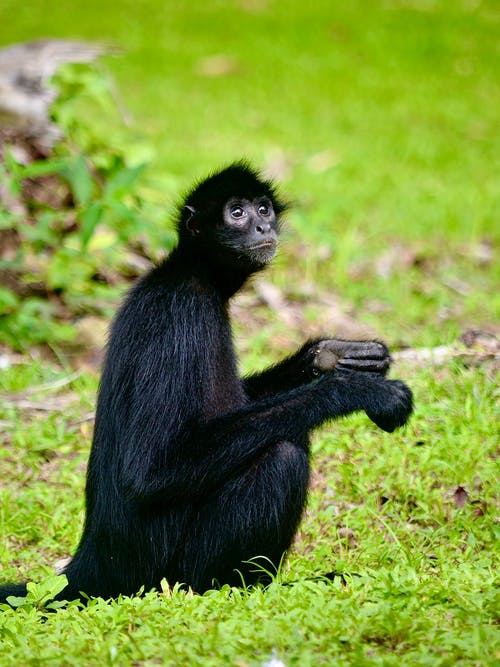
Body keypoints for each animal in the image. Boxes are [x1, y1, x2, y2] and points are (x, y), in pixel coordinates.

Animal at [0, 162, 412, 604]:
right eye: (237, 213)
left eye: (264, 209)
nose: (263, 227)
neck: (190, 271)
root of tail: (92, 565)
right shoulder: (182, 313)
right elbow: (149, 471)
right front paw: (351, 389)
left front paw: (328, 355)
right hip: (170, 571)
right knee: (282, 455)